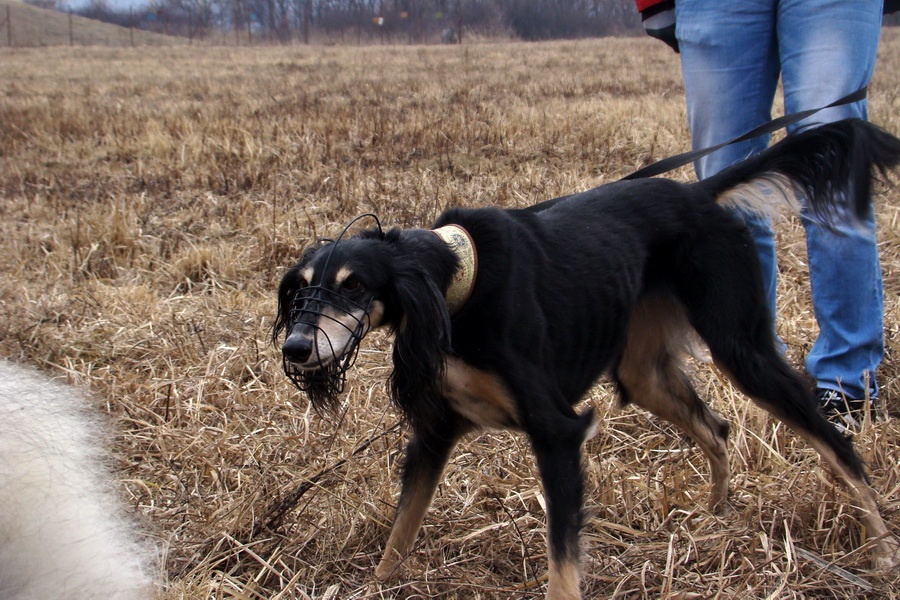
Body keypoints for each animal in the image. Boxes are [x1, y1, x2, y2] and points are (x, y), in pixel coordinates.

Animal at [272, 119, 900, 596]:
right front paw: (377, 583)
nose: (295, 348)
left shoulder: (557, 431)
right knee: (717, 429)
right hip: (642, 373)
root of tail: (697, 193)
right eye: (300, 289)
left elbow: (562, 558)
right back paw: (713, 516)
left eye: (354, 286)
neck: (460, 286)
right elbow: (400, 531)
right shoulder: (435, 433)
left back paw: (880, 551)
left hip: (741, 348)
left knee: (840, 446)